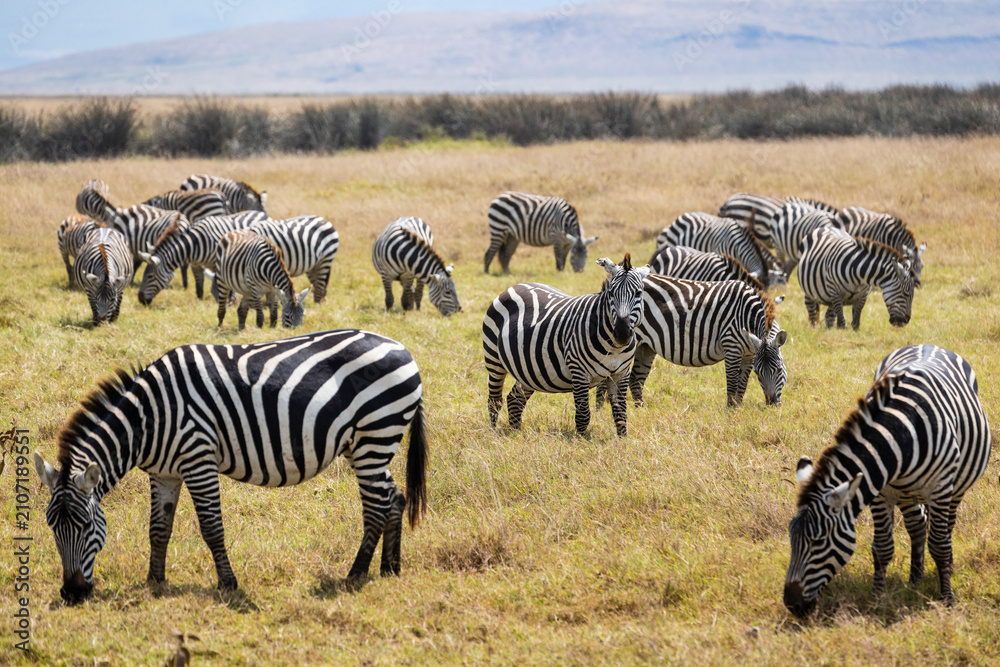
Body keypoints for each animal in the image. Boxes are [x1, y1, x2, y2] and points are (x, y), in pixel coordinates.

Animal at [33, 329, 428, 603]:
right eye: (51, 527)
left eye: (86, 526)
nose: (72, 594)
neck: (149, 420)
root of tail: (403, 348)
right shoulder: (163, 473)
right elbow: (158, 529)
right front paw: (154, 581)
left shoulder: (198, 460)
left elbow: (211, 529)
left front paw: (227, 584)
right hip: (367, 443)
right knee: (394, 497)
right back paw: (390, 569)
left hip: (375, 434)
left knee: (376, 506)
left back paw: (356, 574)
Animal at [137, 211, 268, 304]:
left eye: (150, 276)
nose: (140, 299)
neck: (194, 245)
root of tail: (260, 212)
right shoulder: (196, 265)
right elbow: (199, 286)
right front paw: (200, 303)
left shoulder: (221, 264)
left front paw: (229, 302)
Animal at [483, 254, 651, 437]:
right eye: (611, 293)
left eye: (638, 293)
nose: (622, 333)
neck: (614, 347)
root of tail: (515, 286)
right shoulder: (579, 371)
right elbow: (583, 413)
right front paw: (580, 441)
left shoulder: (621, 373)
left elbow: (620, 412)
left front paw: (622, 441)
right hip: (494, 360)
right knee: (494, 401)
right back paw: (493, 433)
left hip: (528, 370)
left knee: (515, 398)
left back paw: (516, 433)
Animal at [597, 276, 787, 408]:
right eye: (759, 373)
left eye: (778, 370)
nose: (771, 404)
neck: (745, 315)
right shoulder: (731, 345)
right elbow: (732, 382)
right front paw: (731, 410)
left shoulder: (749, 353)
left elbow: (742, 384)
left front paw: (739, 406)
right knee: (605, 377)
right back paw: (600, 408)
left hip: (646, 346)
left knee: (636, 379)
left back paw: (640, 409)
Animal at [784, 344, 991, 617]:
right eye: (791, 539)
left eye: (818, 542)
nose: (791, 604)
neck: (900, 434)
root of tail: (927, 344)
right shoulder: (880, 492)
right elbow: (882, 548)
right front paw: (876, 598)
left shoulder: (940, 487)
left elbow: (939, 545)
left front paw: (947, 599)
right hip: (905, 492)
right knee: (917, 525)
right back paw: (915, 578)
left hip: (954, 489)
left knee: (947, 528)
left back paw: (945, 569)